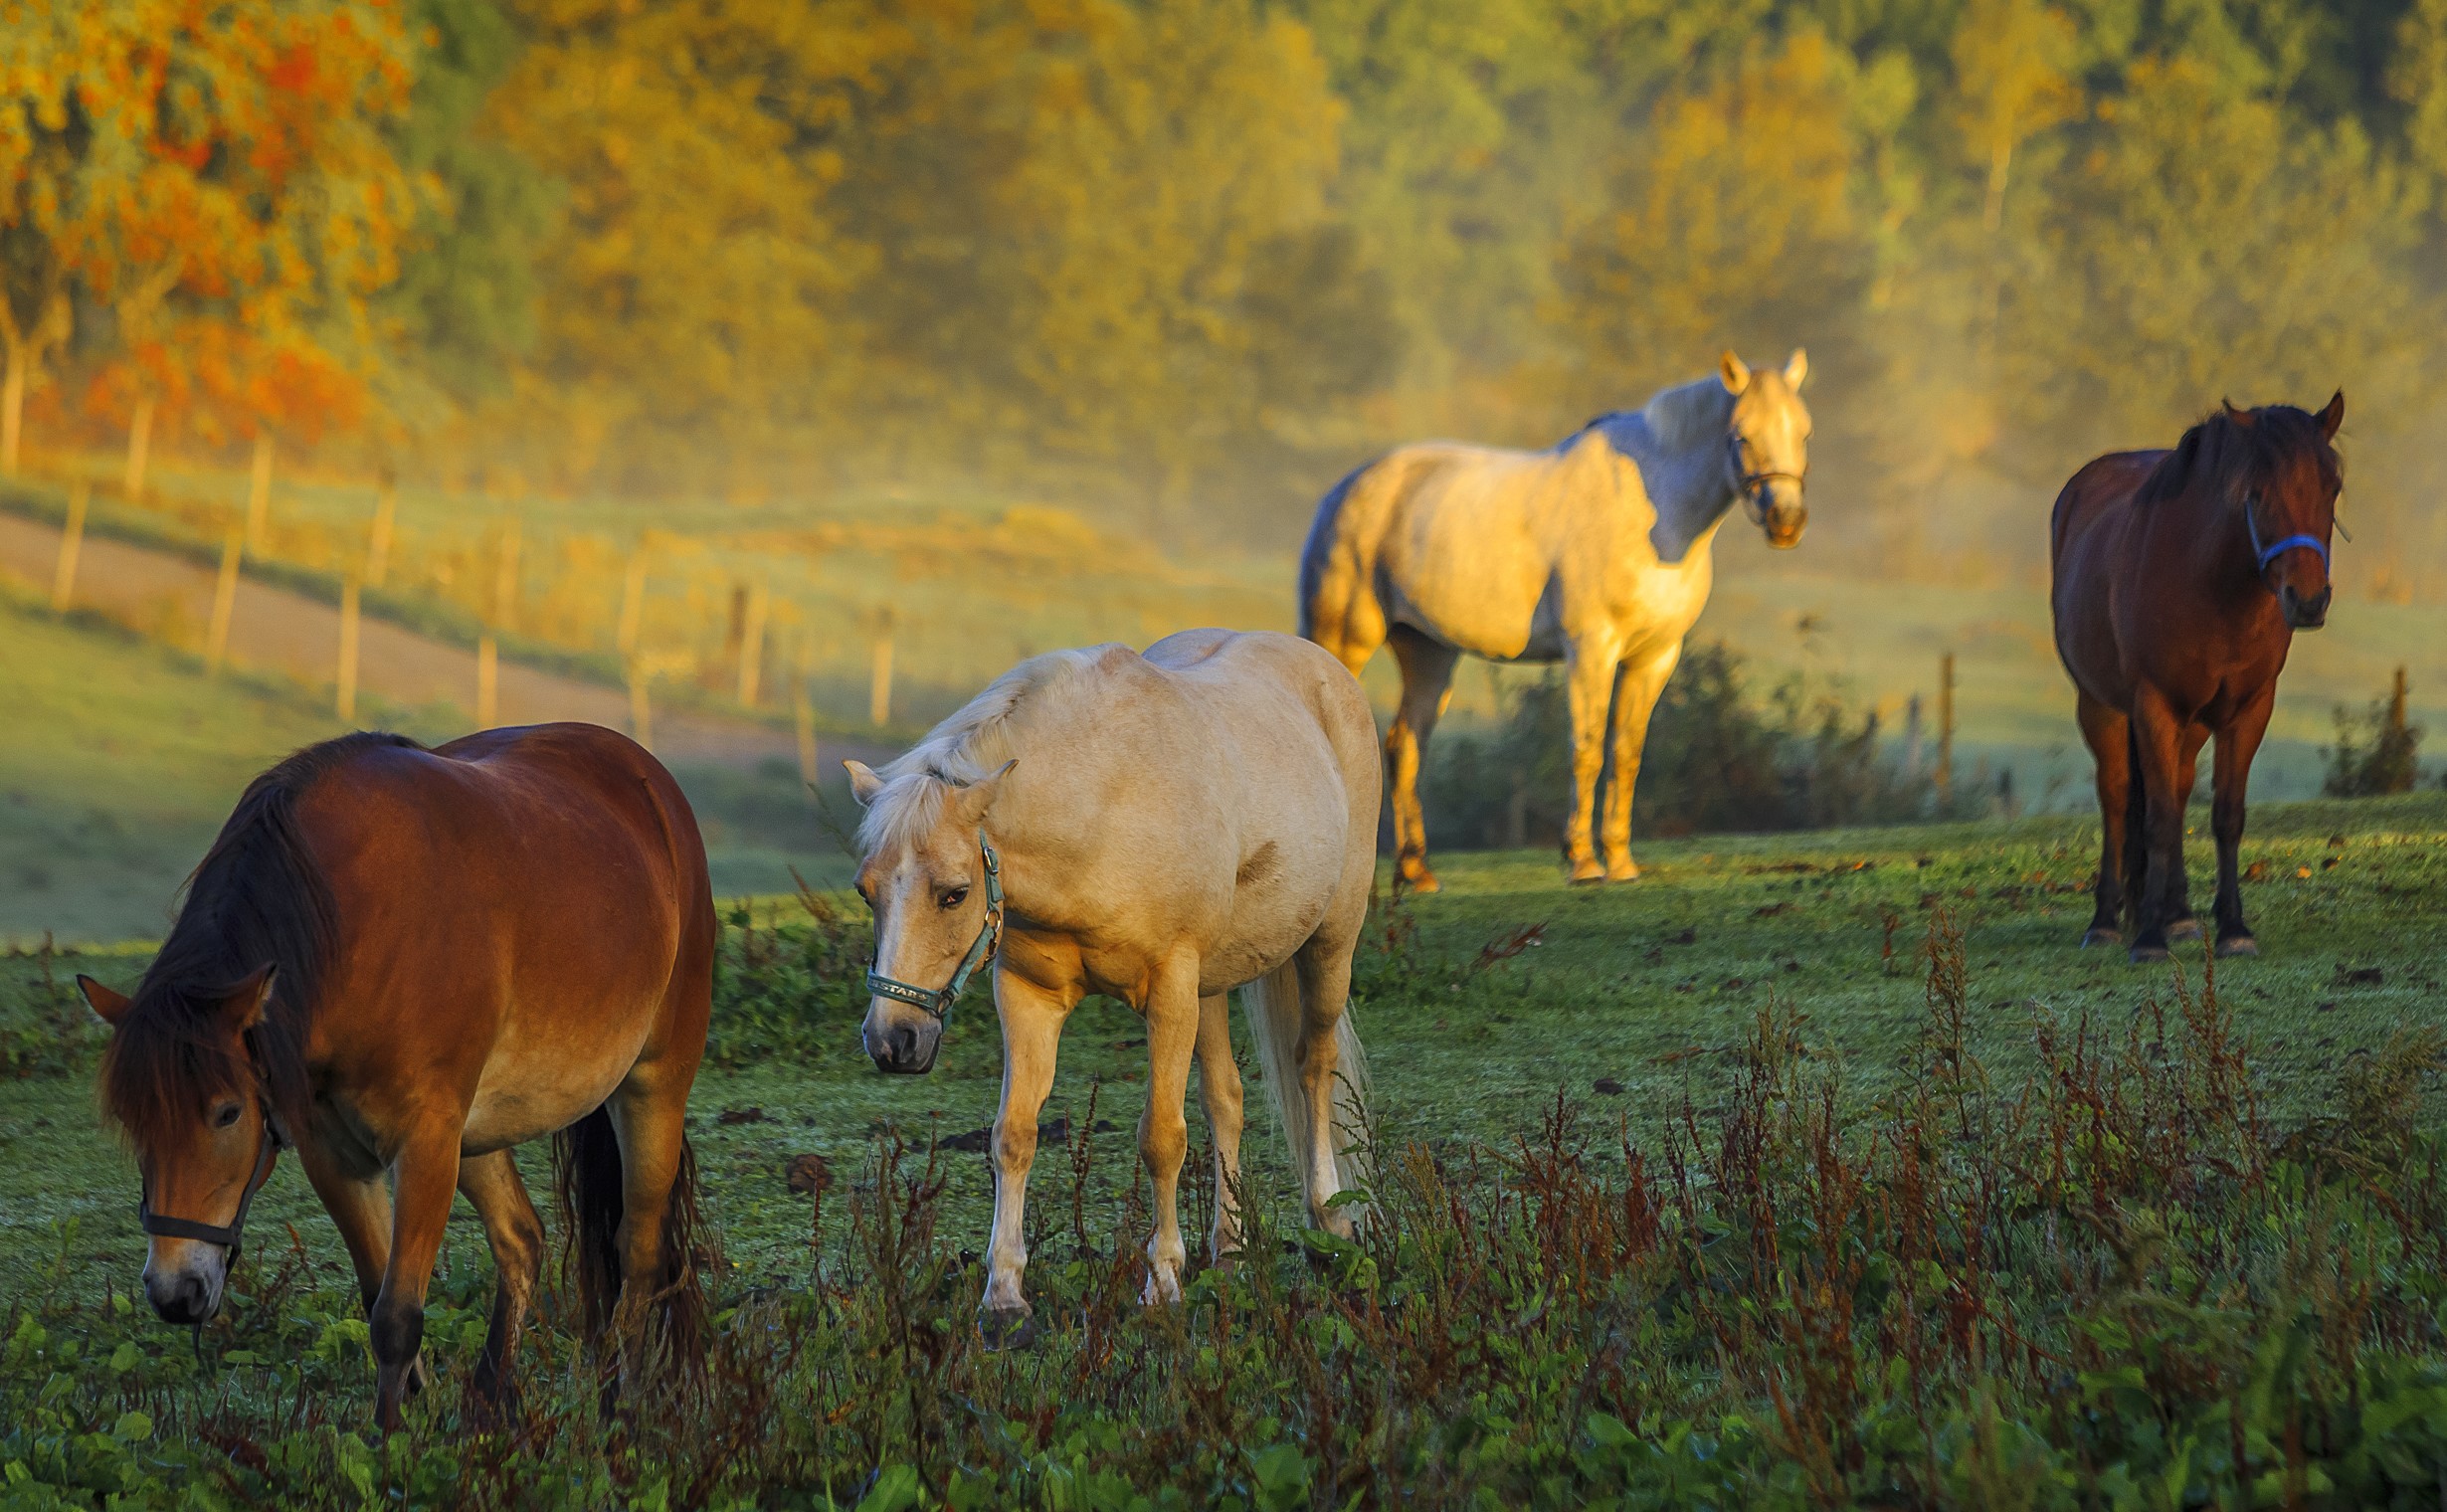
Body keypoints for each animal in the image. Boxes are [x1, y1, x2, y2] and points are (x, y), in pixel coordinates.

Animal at [79, 724, 716, 1429]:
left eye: (227, 1112)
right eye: (132, 1119)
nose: (174, 1291)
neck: (351, 930)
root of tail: (649, 783)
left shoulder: (425, 1143)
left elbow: (396, 1318)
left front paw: (390, 1447)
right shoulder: (335, 1153)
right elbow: (376, 1297)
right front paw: (414, 1422)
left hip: (652, 1087)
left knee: (638, 1252)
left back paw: (617, 1408)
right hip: (477, 1134)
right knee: (521, 1240)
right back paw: (490, 1407)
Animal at [842, 629, 1377, 1343]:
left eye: (953, 894)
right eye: (865, 890)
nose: (892, 1040)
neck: (1101, 807)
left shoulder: (1171, 990)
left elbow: (1162, 1139)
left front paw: (1163, 1286)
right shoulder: (1028, 995)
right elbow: (1013, 1135)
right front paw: (1004, 1299)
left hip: (1328, 944)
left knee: (1313, 1070)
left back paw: (1330, 1226)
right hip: (1212, 986)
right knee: (1226, 1099)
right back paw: (1230, 1252)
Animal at [1299, 350, 1813, 890]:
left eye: (1803, 432)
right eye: (1741, 434)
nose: (1786, 521)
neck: (1653, 513)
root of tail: (1344, 492)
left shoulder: (1655, 656)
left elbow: (1627, 754)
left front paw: (1621, 862)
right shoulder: (1591, 649)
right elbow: (1587, 749)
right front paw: (1583, 861)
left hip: (1429, 654)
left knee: (1405, 746)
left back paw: (1416, 871)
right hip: (1343, 641)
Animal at [2050, 393, 2345, 962]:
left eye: (2332, 487)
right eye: (2258, 491)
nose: (2307, 599)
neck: (2211, 585)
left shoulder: (2247, 710)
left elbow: (2225, 815)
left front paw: (2232, 928)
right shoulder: (2154, 707)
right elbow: (2159, 818)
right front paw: (2147, 940)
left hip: (2195, 723)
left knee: (2181, 787)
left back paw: (2179, 915)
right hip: (2100, 707)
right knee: (2117, 797)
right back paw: (2107, 921)